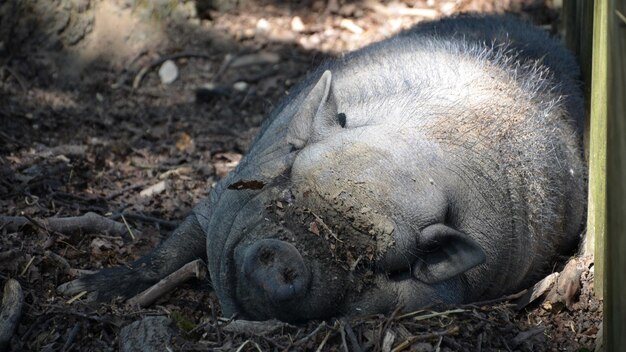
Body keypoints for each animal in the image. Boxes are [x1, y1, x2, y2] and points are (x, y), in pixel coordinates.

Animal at [56, 13, 584, 322]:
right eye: (286, 191)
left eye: (373, 263)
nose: (286, 256)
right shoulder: (222, 188)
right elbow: (172, 248)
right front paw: (82, 290)